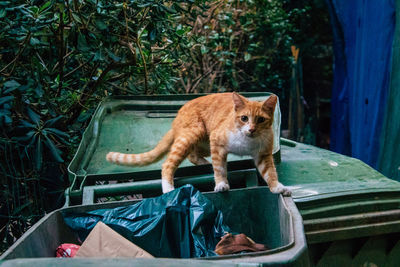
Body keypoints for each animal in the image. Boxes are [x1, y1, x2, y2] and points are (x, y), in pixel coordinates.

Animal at [108, 92, 290, 197]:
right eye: (244, 118)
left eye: (261, 120)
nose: (251, 129)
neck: (247, 141)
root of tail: (176, 118)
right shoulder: (216, 142)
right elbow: (220, 169)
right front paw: (221, 184)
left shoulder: (263, 155)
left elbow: (270, 173)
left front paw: (277, 187)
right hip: (193, 133)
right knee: (168, 164)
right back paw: (168, 189)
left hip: (202, 142)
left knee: (193, 155)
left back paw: (204, 164)